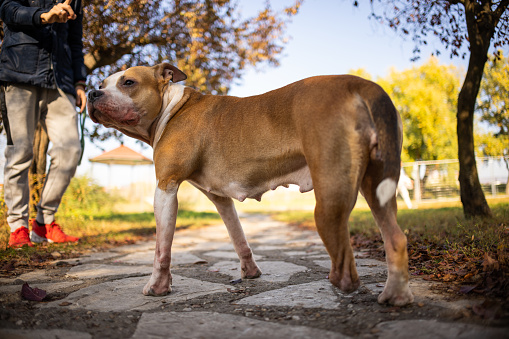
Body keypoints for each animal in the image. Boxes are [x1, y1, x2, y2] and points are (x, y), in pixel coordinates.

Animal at [87, 62, 412, 306]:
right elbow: (238, 235)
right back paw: (395, 296)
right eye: (102, 83)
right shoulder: (220, 198)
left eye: (128, 82)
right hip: (377, 187)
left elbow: (161, 249)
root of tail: (360, 85)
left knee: (346, 265)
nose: (91, 92)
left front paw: (157, 287)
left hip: (329, 199)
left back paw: (342, 284)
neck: (171, 107)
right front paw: (250, 272)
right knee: (395, 237)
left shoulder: (166, 187)